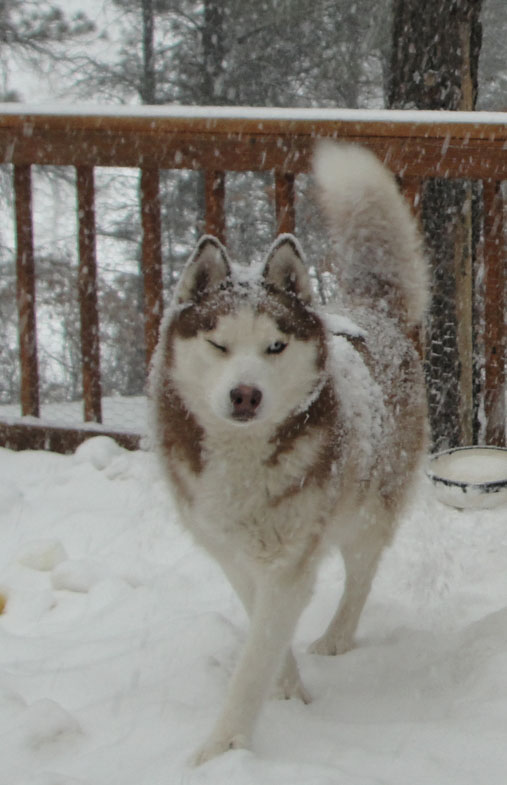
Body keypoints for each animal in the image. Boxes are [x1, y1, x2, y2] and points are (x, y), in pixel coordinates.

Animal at [150, 139, 428, 760]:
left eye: (276, 346)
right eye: (218, 343)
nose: (245, 394)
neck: (243, 459)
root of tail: (373, 309)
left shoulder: (289, 559)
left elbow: (254, 659)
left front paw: (224, 748)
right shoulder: (232, 552)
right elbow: (262, 632)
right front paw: (288, 689)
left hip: (366, 510)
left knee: (360, 576)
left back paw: (337, 637)